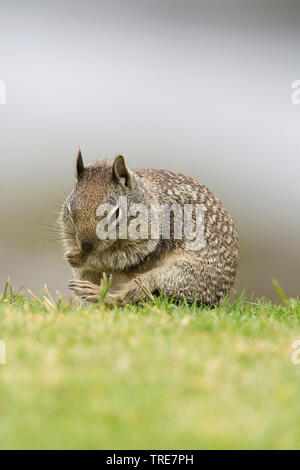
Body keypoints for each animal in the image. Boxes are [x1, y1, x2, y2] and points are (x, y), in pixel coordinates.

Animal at [60, 150, 239, 304]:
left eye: (116, 213)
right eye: (69, 208)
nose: (86, 247)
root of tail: (212, 302)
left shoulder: (149, 242)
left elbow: (121, 259)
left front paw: (81, 258)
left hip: (170, 277)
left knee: (129, 298)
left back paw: (97, 293)